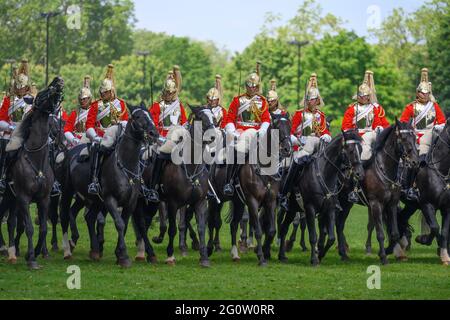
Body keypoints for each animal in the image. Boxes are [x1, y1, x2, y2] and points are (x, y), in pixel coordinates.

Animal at [59, 104, 158, 266]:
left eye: (149, 114)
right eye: (137, 117)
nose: (153, 133)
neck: (125, 164)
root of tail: (70, 152)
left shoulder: (131, 202)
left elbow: (124, 224)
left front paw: (118, 253)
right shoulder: (110, 199)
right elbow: (119, 223)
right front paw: (123, 256)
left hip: (93, 199)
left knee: (89, 217)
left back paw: (94, 250)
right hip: (68, 192)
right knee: (65, 216)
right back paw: (68, 249)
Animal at [278, 129, 366, 266]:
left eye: (361, 150)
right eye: (351, 150)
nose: (360, 174)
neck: (324, 174)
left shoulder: (329, 209)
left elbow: (330, 237)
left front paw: (320, 255)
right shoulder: (310, 209)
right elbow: (313, 236)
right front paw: (314, 259)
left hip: (292, 210)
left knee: (284, 228)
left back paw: (282, 255)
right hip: (288, 208)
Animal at [334, 119, 418, 264]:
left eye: (414, 138)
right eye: (403, 138)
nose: (415, 161)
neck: (383, 171)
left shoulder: (391, 205)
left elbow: (394, 233)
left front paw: (388, 250)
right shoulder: (376, 205)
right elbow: (380, 233)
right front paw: (383, 256)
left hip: (347, 203)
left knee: (339, 224)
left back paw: (343, 253)